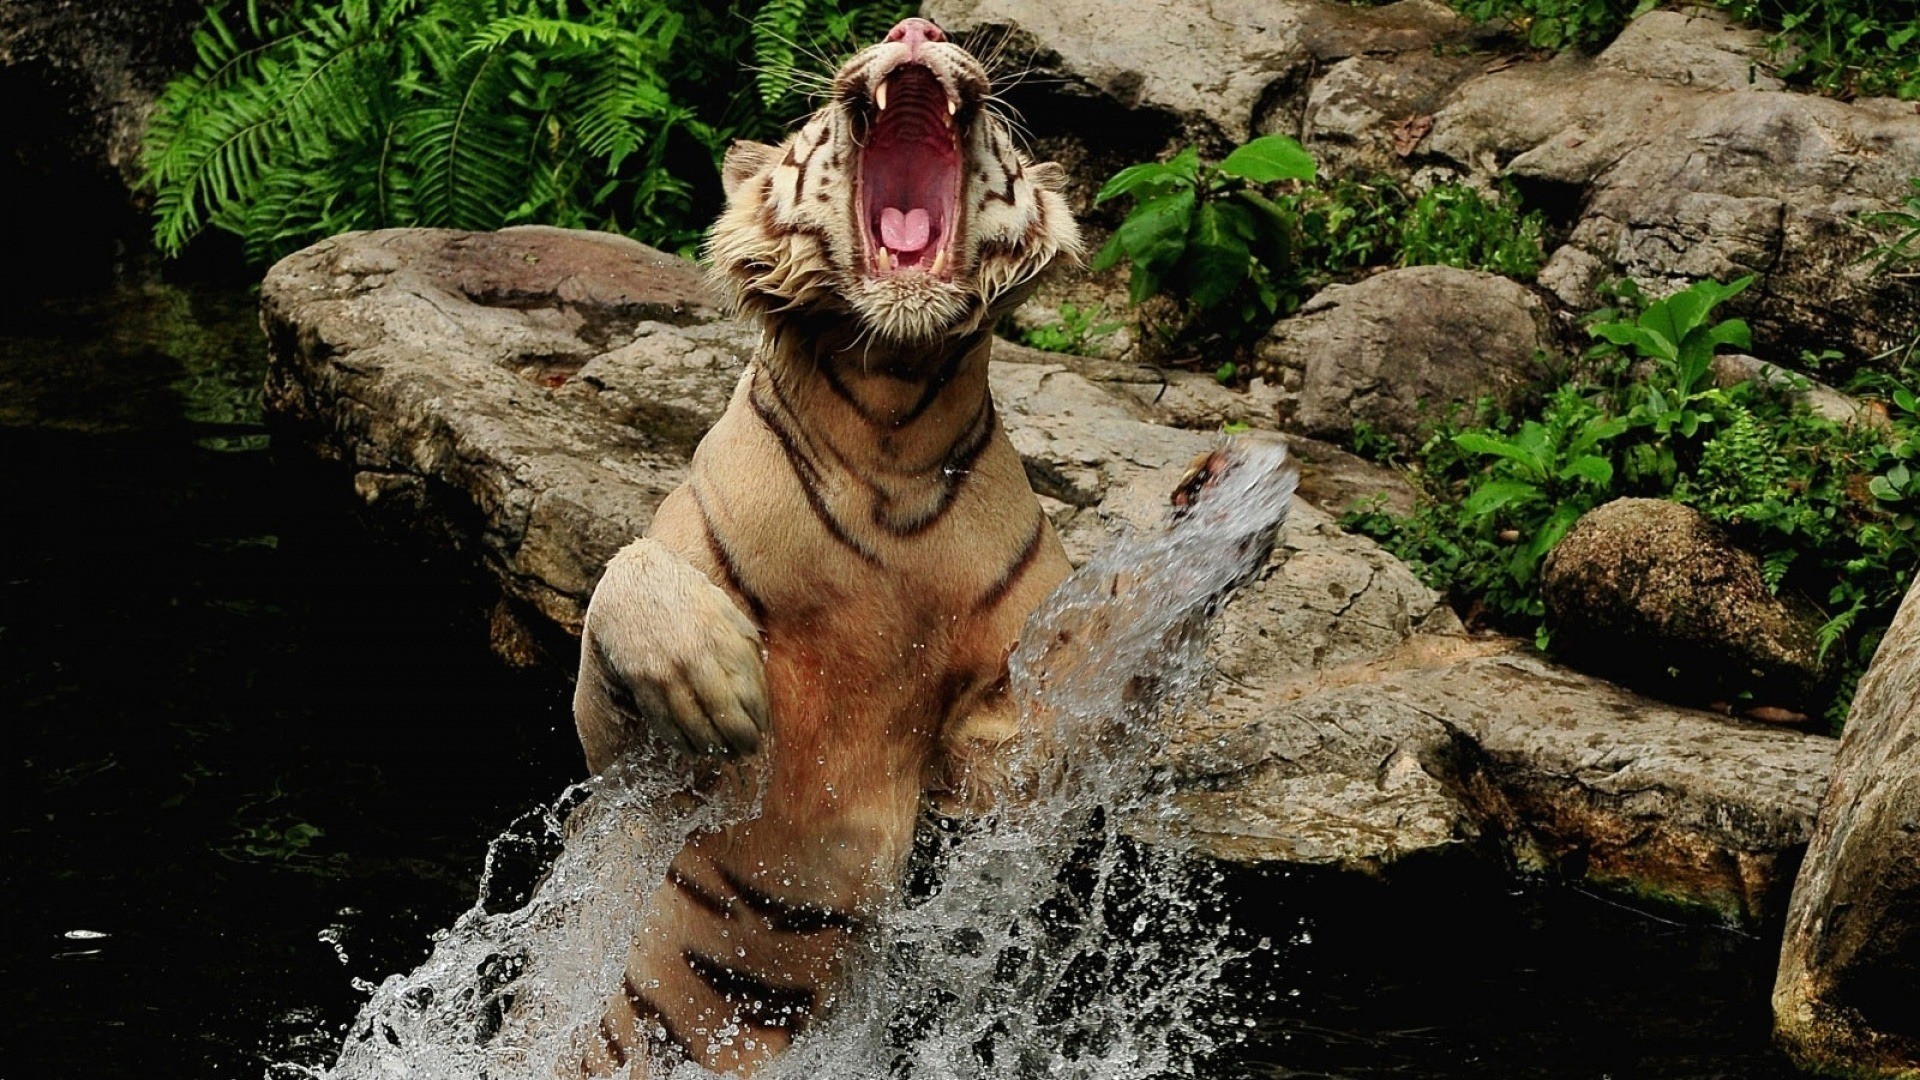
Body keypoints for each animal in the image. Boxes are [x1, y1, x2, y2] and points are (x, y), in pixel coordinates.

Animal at [568, 17, 1283, 1077]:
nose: (919, 28)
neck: (890, 428)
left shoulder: (998, 761)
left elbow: (1104, 660)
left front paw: (1224, 509)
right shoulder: (626, 769)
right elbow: (622, 585)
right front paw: (715, 681)